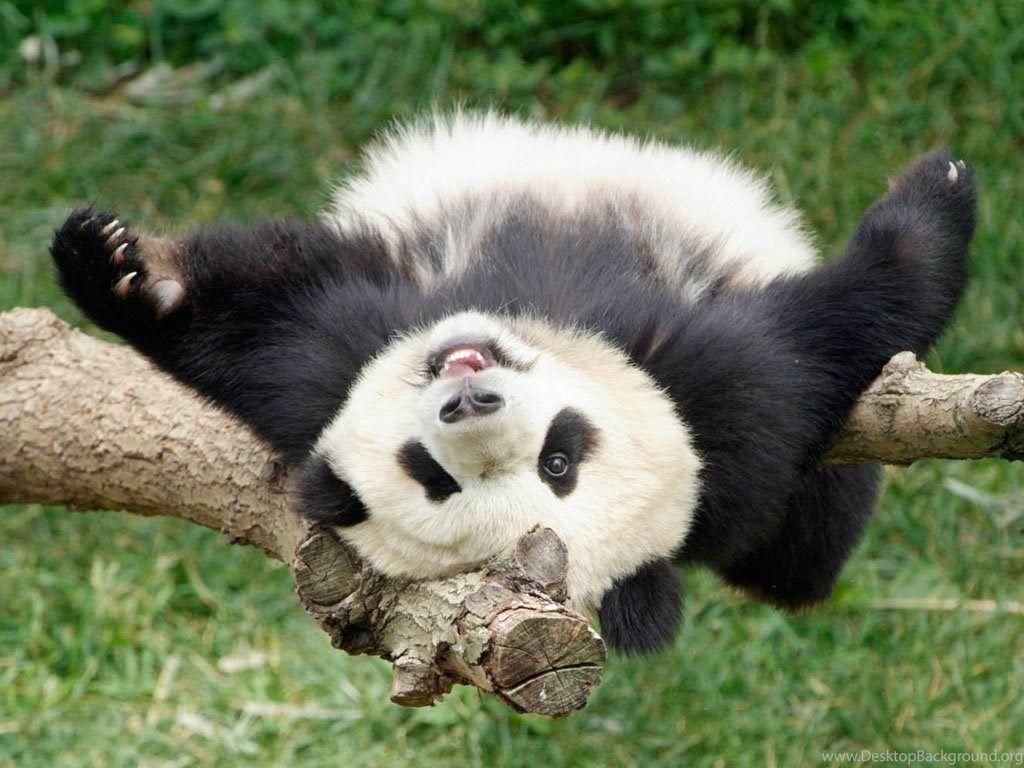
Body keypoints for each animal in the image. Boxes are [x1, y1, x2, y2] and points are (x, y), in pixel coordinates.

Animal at [50, 112, 976, 653]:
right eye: (435, 475)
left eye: (559, 461)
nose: (472, 395)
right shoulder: (332, 366)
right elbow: (264, 319)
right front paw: (123, 271)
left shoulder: (729, 411)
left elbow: (834, 328)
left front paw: (938, 190)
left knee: (807, 550)